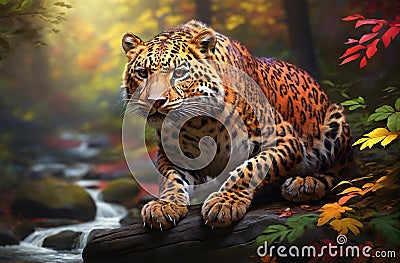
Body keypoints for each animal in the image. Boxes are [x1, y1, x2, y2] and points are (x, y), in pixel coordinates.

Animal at [120, 20, 352, 231]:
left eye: (179, 73)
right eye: (142, 73)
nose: (155, 101)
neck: (198, 123)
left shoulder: (284, 140)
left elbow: (252, 168)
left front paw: (225, 202)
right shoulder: (172, 154)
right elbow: (170, 178)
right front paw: (164, 205)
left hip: (336, 121)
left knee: (340, 175)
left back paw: (305, 184)